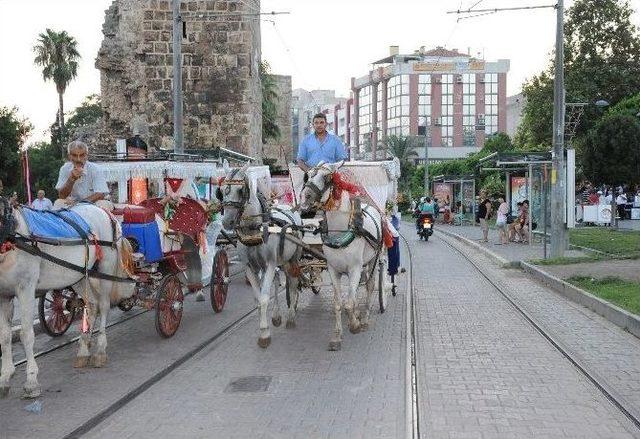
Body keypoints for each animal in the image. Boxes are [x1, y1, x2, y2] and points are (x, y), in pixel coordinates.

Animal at [0, 199, 134, 398]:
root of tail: (103, 209)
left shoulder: (26, 289)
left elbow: (26, 334)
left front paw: (31, 381)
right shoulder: (3, 295)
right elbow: (5, 337)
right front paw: (5, 378)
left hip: (105, 269)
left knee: (104, 306)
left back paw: (100, 350)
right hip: (79, 275)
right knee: (92, 306)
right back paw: (83, 350)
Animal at [218, 162, 302, 348]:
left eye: (241, 190)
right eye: (220, 191)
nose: (227, 222)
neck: (254, 230)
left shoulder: (270, 263)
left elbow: (264, 298)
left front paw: (264, 334)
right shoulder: (250, 267)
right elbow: (258, 299)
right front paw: (265, 325)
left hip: (292, 259)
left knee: (292, 283)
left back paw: (291, 317)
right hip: (277, 262)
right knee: (278, 282)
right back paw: (277, 316)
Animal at [300, 162, 384, 350]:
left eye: (327, 178)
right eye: (307, 175)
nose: (305, 197)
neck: (339, 231)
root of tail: (369, 206)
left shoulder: (354, 269)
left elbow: (349, 303)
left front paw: (355, 325)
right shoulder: (333, 269)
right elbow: (339, 303)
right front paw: (337, 336)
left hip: (373, 260)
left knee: (370, 286)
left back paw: (365, 319)